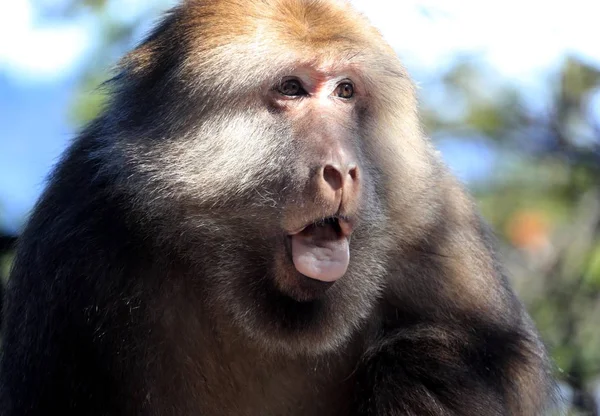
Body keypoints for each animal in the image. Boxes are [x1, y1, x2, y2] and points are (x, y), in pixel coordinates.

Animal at [0, 0, 556, 414]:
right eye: (291, 88)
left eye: (345, 90)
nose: (342, 170)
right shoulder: (78, 227)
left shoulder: (435, 217)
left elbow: (481, 355)